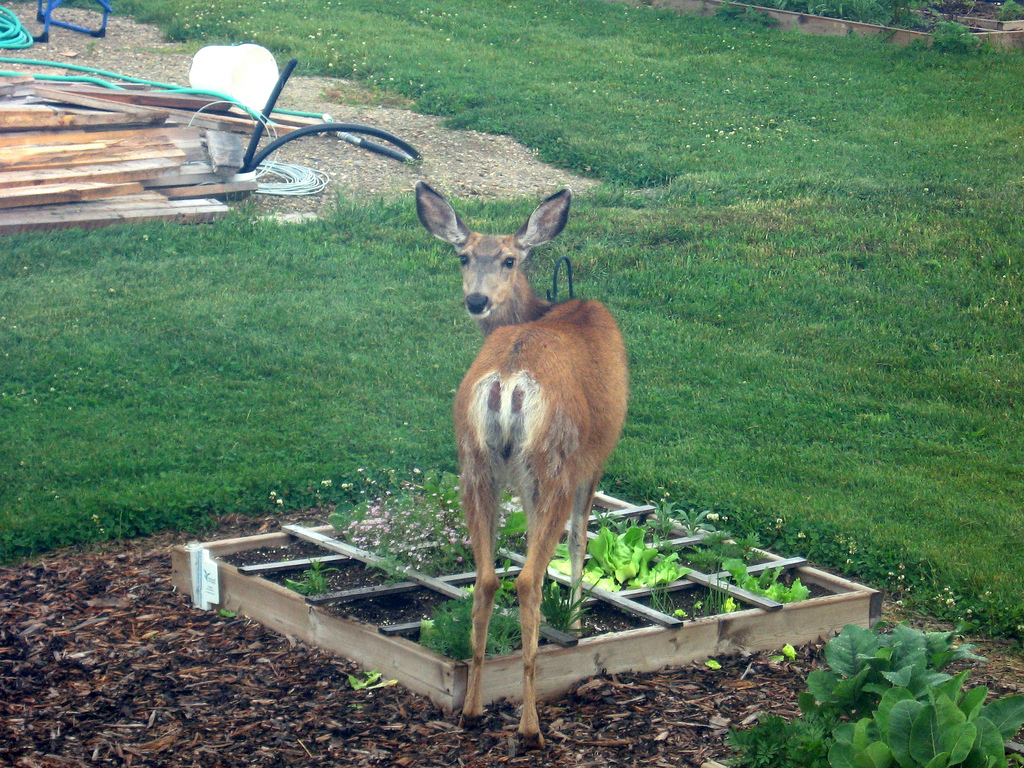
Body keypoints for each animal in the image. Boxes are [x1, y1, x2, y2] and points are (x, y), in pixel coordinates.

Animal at [413, 182, 622, 753]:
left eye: (507, 259)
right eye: (463, 257)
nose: (476, 300)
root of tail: (507, 380)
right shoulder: (595, 456)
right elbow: (580, 538)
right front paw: (575, 612)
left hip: (473, 461)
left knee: (486, 577)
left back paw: (471, 709)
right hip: (553, 459)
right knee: (527, 577)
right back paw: (530, 726)